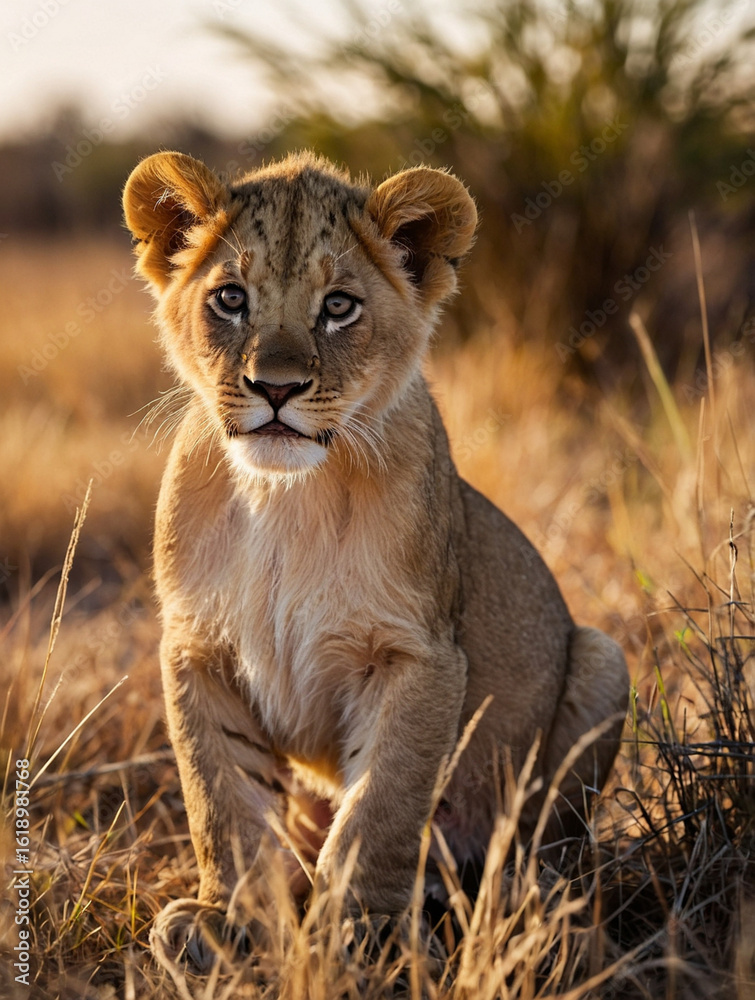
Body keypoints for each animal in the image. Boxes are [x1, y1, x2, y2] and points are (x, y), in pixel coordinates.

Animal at [122, 150, 628, 970]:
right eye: (230, 298)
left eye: (339, 306)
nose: (276, 387)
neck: (285, 496)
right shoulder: (195, 649)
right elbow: (220, 798)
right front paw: (226, 918)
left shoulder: (417, 653)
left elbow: (383, 801)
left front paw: (369, 926)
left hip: (602, 658)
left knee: (546, 842)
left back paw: (525, 895)